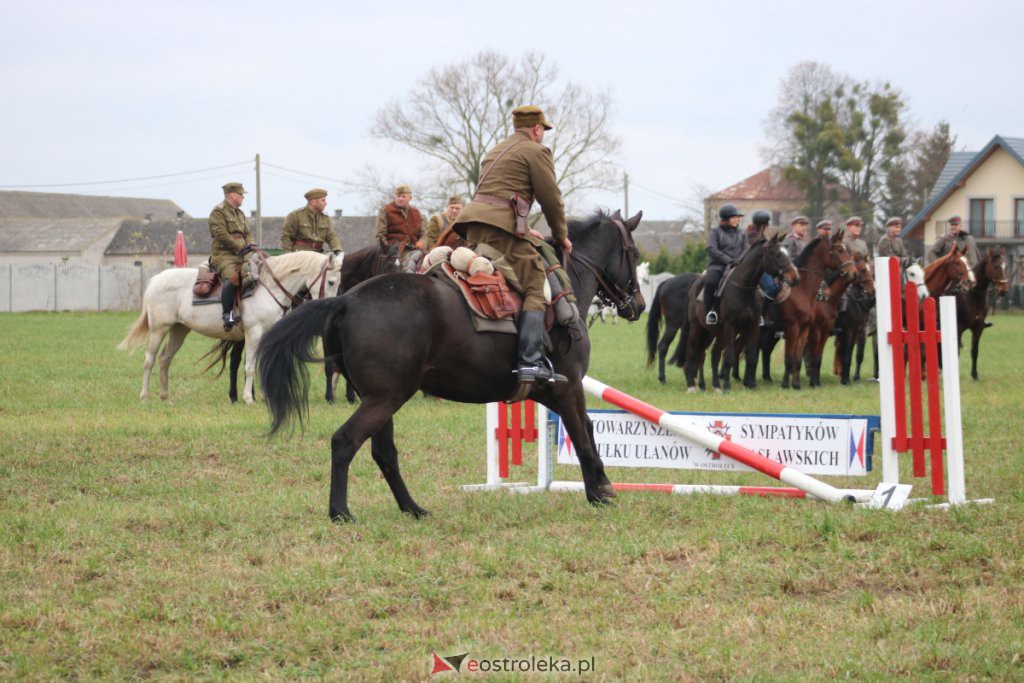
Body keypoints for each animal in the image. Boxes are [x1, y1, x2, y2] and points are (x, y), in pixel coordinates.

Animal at [115, 249, 339, 401]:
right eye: (331, 281)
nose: (330, 306)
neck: (269, 288)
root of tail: (156, 280)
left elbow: (258, 365)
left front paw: (263, 397)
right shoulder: (253, 334)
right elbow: (250, 367)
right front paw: (248, 398)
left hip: (179, 330)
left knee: (164, 359)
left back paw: (165, 396)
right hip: (158, 329)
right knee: (149, 360)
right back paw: (144, 396)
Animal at [256, 210, 643, 520]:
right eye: (635, 254)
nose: (637, 304)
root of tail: (347, 300)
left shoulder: (550, 391)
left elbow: (587, 428)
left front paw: (600, 485)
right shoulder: (568, 386)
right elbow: (582, 434)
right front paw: (599, 491)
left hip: (382, 399)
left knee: (383, 452)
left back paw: (412, 508)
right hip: (385, 398)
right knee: (345, 441)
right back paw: (341, 512)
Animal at [684, 235, 802, 393]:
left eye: (787, 253)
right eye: (777, 254)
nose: (795, 278)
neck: (744, 289)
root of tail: (695, 284)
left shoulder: (753, 327)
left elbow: (751, 357)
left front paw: (751, 385)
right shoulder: (730, 327)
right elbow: (729, 357)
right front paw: (727, 386)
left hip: (715, 333)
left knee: (713, 354)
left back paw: (716, 385)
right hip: (697, 328)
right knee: (692, 352)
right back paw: (692, 385)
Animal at [954, 246, 1011, 385]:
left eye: (1006, 267)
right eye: (996, 266)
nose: (1004, 290)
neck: (971, 295)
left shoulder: (978, 328)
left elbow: (974, 351)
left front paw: (975, 375)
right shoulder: (958, 328)